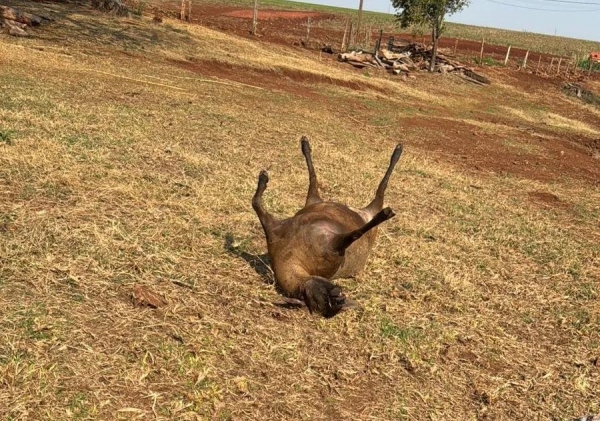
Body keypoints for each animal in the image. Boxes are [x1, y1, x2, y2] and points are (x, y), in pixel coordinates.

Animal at [251, 136, 400, 316]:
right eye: (328, 302)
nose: (339, 297)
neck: (291, 256)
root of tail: (364, 211)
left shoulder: (274, 229)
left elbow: (255, 203)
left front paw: (262, 181)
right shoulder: (334, 247)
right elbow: (355, 234)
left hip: (315, 202)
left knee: (315, 181)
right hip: (323, 204)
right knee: (376, 193)